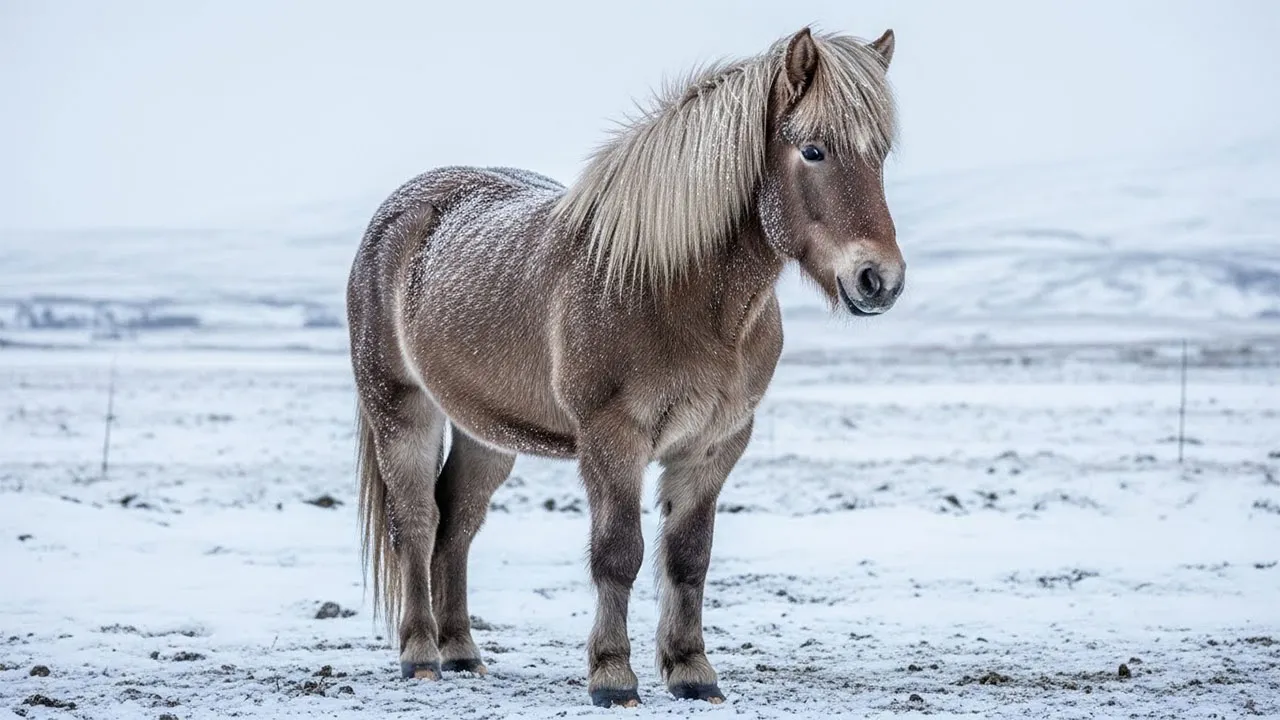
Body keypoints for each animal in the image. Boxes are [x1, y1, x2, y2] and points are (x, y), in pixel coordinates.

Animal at [346, 26, 903, 707]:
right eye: (814, 150)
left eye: (879, 155)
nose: (879, 280)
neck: (676, 291)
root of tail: (402, 212)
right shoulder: (613, 438)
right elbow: (618, 553)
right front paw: (612, 676)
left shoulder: (716, 443)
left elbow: (689, 556)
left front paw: (692, 671)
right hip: (401, 410)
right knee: (418, 523)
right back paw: (421, 655)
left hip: (487, 433)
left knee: (458, 524)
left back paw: (462, 653)